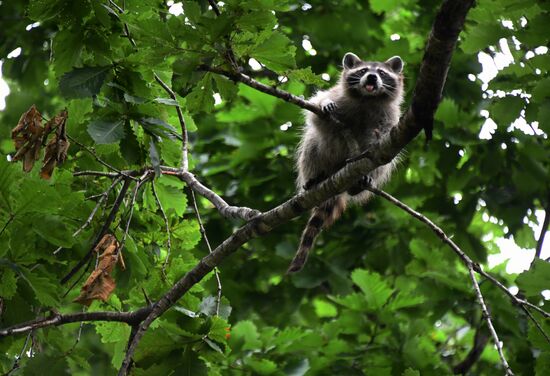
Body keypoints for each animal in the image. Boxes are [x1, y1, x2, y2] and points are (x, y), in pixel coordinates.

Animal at [288, 51, 406, 272]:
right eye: (363, 70)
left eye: (381, 73)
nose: (371, 77)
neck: (367, 99)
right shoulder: (337, 97)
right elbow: (316, 111)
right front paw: (324, 103)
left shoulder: (390, 116)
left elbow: (385, 139)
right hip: (317, 159)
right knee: (312, 143)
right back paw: (315, 178)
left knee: (383, 164)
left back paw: (360, 184)